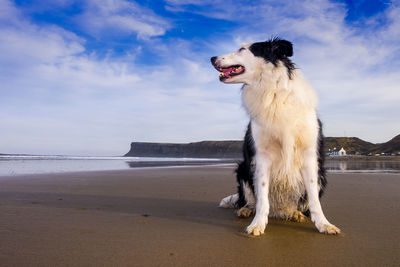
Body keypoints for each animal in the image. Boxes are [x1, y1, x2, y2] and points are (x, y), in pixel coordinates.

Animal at [211, 37, 340, 237]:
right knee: (249, 200)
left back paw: (295, 213)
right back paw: (245, 210)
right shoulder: (261, 156)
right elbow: (262, 197)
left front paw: (324, 224)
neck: (271, 90)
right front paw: (258, 224)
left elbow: (314, 200)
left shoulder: (309, 156)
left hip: (322, 176)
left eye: (242, 49)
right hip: (243, 169)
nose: (212, 58)